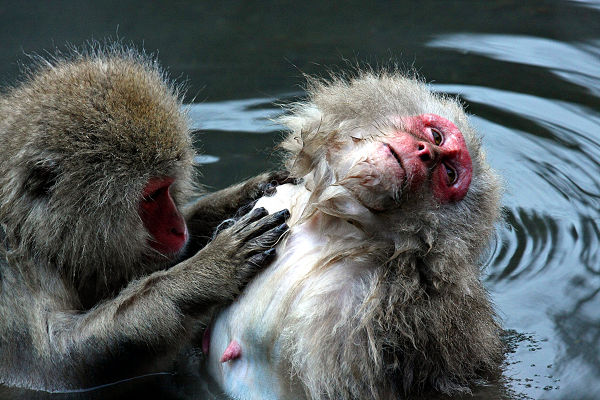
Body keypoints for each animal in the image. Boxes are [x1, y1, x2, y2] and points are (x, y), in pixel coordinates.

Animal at [0, 44, 288, 390]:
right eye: (151, 196)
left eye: (168, 188)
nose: (178, 229)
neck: (27, 229)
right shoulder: (11, 272)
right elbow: (60, 364)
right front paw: (206, 272)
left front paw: (245, 194)